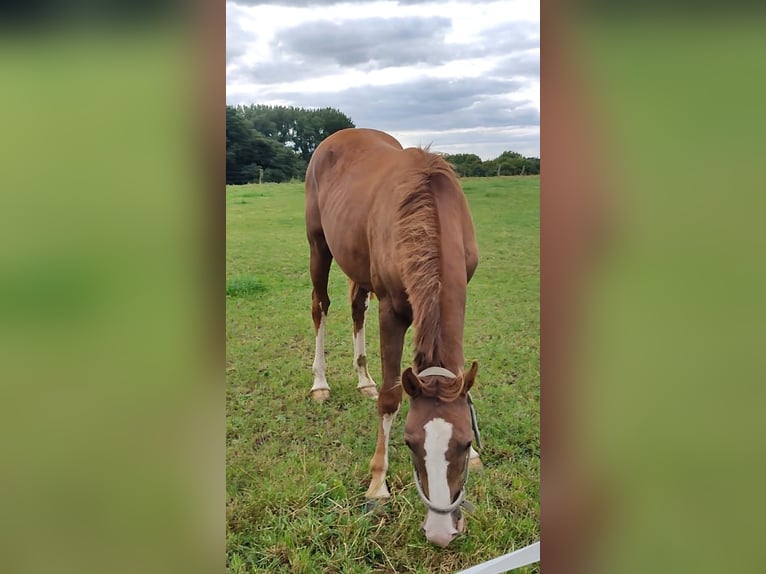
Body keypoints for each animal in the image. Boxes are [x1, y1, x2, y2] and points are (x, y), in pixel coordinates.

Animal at [304, 129, 480, 548]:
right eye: (410, 443)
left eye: (465, 442)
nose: (440, 532)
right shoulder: (393, 312)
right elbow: (390, 397)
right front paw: (377, 487)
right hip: (318, 246)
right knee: (321, 306)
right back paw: (320, 383)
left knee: (356, 307)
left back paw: (363, 379)